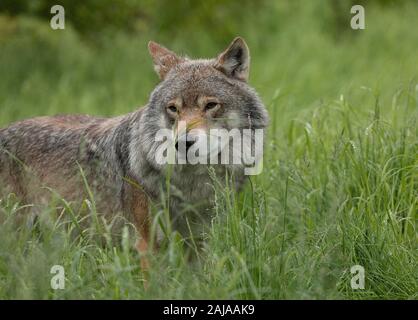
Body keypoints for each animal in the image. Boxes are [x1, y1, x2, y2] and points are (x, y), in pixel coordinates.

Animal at [0, 37, 268, 270]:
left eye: (211, 105)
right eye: (173, 109)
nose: (183, 143)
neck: (191, 183)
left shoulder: (198, 240)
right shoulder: (147, 244)